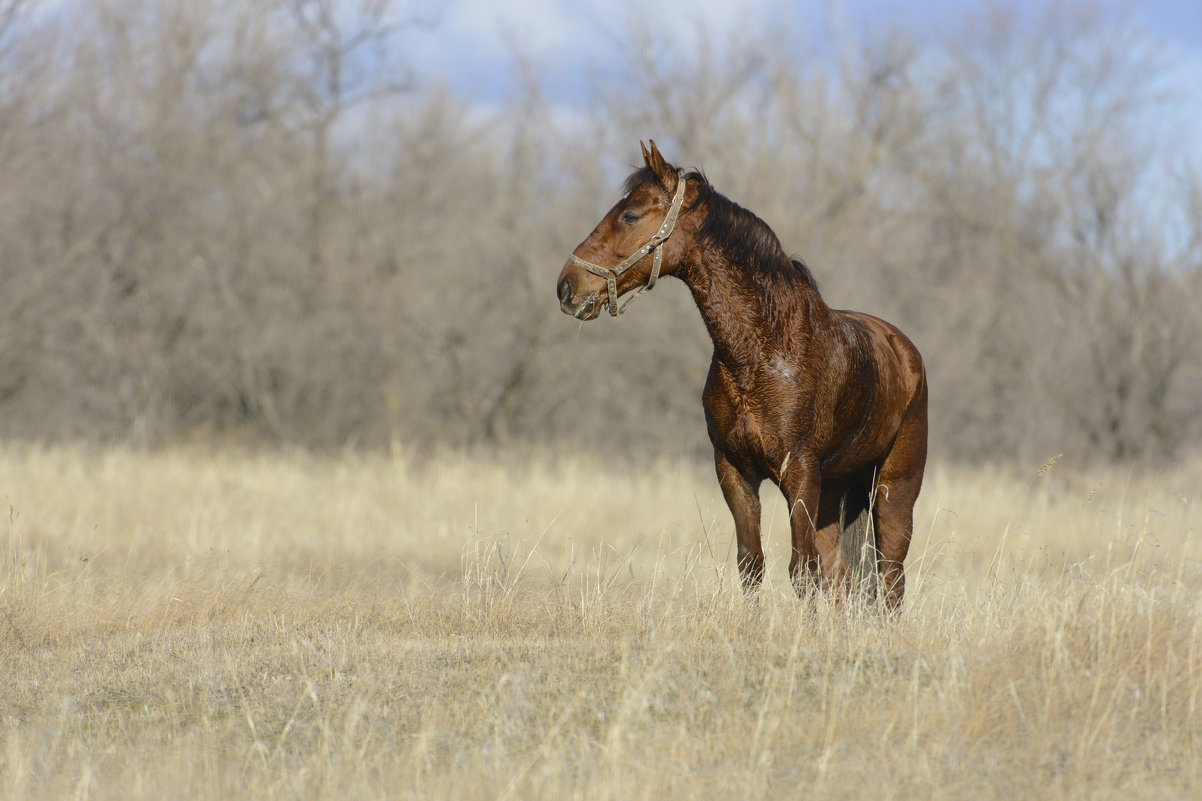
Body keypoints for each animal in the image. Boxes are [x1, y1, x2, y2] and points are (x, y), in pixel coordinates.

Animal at [552, 141, 927, 606]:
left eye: (630, 216)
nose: (567, 287)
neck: (763, 350)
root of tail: (904, 349)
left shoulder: (799, 472)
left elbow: (801, 571)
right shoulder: (735, 470)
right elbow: (752, 564)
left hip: (894, 490)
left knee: (890, 579)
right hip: (836, 490)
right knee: (841, 576)